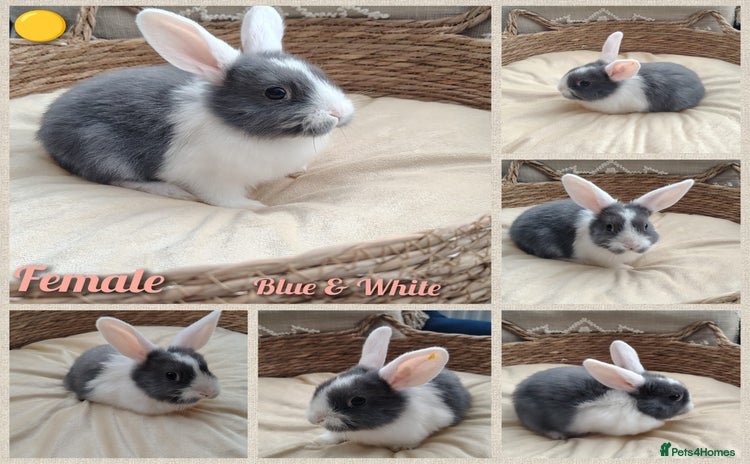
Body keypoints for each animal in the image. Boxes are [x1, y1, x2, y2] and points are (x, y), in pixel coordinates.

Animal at [38, 7, 354, 209]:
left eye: (318, 72)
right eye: (276, 93)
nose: (340, 112)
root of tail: (45, 127)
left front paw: (298, 170)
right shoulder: (212, 178)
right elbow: (225, 200)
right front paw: (256, 206)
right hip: (102, 151)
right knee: (117, 179)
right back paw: (172, 191)